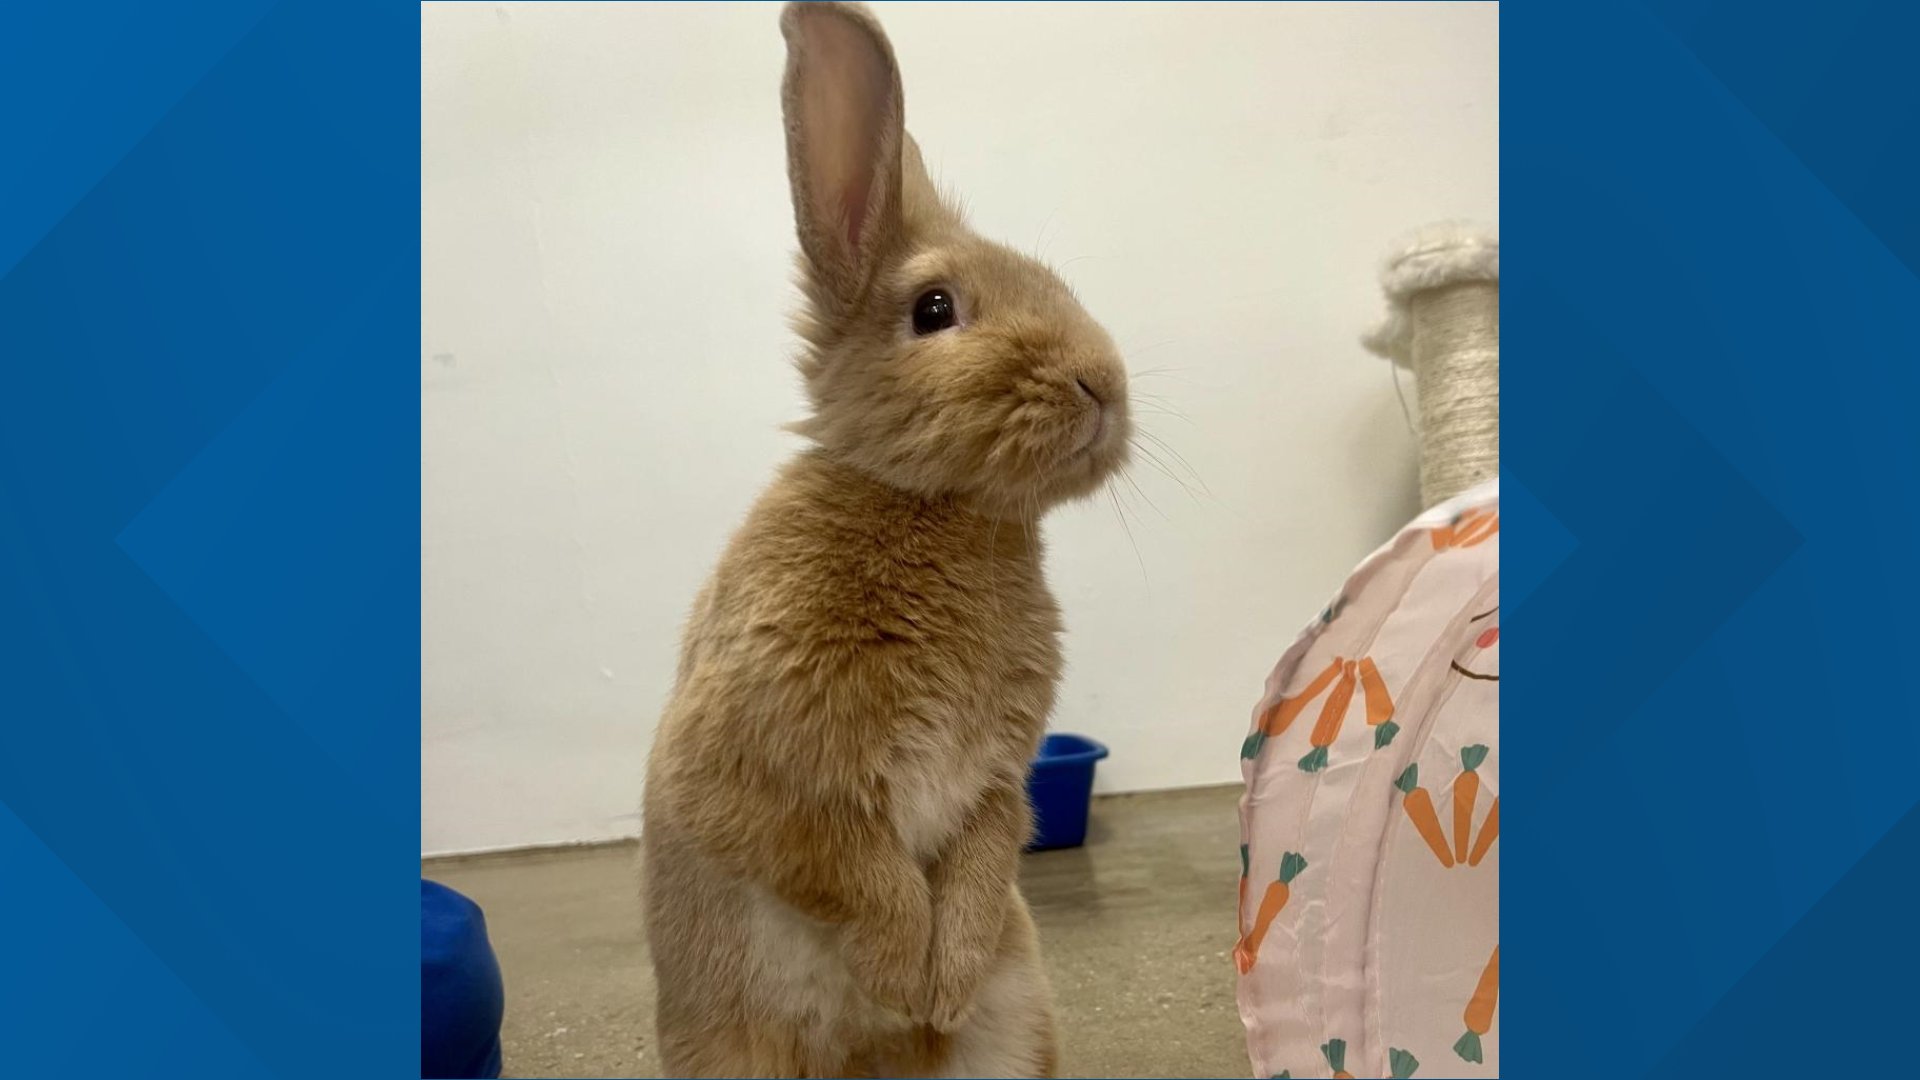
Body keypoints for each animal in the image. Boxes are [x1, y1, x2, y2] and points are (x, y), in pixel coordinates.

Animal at [637, 4, 1128, 1068]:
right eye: (934, 309)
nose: (1103, 383)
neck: (944, 512)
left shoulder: (997, 784)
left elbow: (982, 856)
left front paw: (943, 991)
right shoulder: (763, 780)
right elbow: (862, 875)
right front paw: (908, 983)